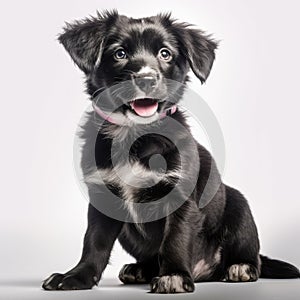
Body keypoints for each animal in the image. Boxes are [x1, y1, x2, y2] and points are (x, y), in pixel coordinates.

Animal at [42, 11, 300, 292]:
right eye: (120, 53)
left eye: (165, 53)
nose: (147, 79)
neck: (134, 133)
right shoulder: (103, 197)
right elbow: (94, 241)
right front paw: (77, 276)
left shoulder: (180, 196)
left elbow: (175, 238)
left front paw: (174, 275)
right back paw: (140, 269)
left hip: (240, 208)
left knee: (252, 255)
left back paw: (241, 267)